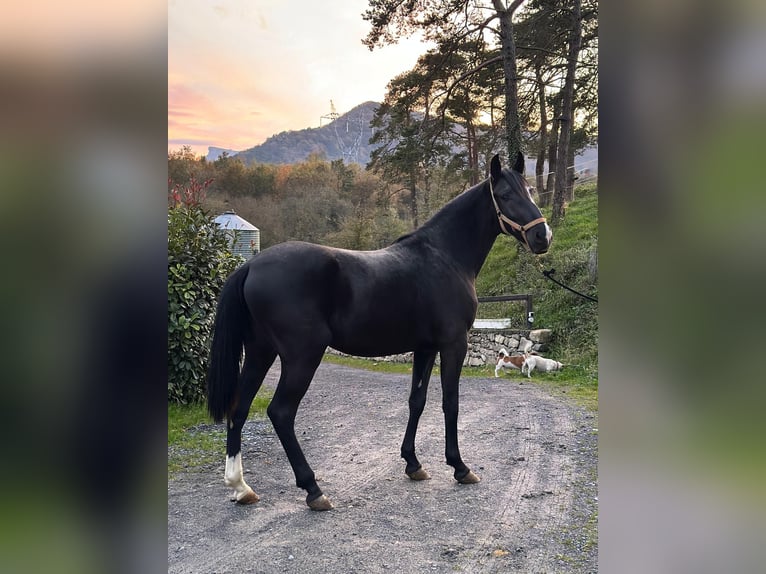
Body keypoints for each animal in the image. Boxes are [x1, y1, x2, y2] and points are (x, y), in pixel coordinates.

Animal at [206, 153, 552, 512]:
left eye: (530, 191)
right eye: (507, 195)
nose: (543, 236)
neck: (444, 255)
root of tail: (251, 265)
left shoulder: (425, 347)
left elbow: (417, 401)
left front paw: (413, 463)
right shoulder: (453, 344)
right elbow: (450, 402)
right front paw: (459, 466)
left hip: (260, 352)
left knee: (239, 408)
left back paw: (240, 486)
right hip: (302, 357)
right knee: (281, 413)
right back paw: (313, 488)